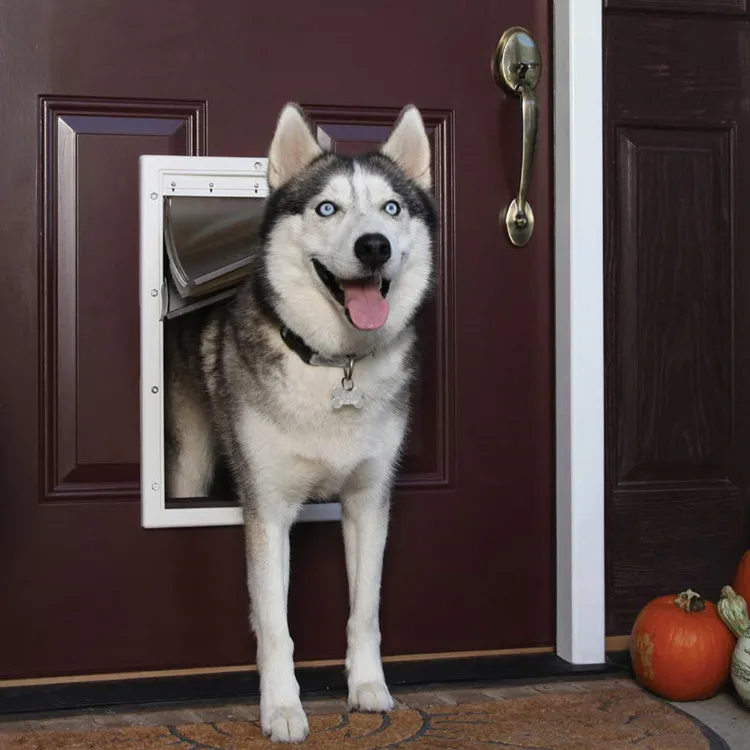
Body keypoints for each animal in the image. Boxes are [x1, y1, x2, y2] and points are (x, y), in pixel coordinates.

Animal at [164, 103, 434, 744]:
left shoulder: (368, 501)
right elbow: (274, 623)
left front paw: (368, 687)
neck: (335, 365)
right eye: (327, 208)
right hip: (191, 464)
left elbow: (365, 609)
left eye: (392, 208)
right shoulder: (268, 509)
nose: (374, 246)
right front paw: (283, 708)